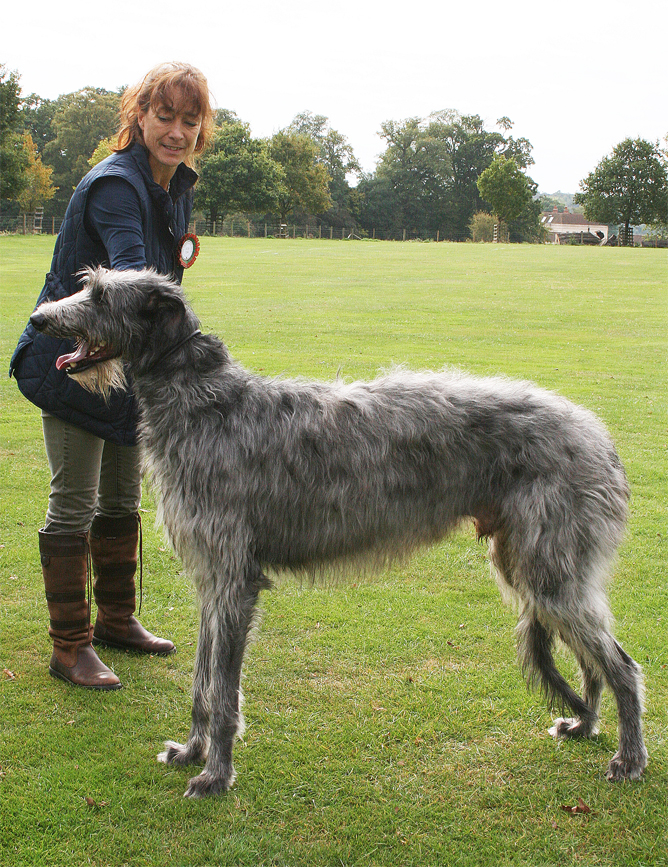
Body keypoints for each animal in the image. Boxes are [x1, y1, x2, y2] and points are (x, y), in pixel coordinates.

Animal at [30, 268, 648, 796]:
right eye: (87, 283)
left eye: (100, 296)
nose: (37, 319)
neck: (204, 404)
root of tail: (598, 436)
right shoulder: (212, 579)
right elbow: (204, 683)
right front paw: (191, 751)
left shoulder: (234, 580)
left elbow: (223, 690)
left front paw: (216, 774)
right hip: (533, 566)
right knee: (593, 662)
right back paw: (585, 726)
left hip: (550, 569)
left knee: (622, 666)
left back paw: (629, 758)